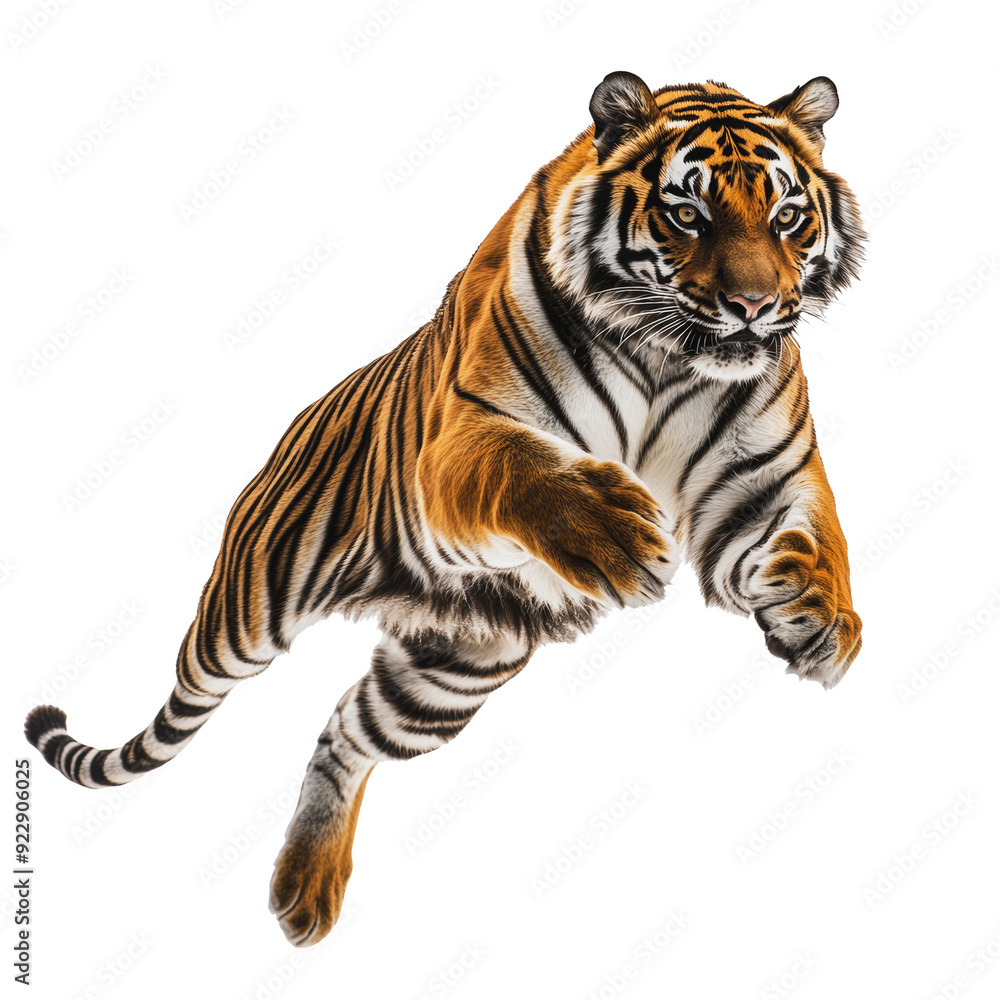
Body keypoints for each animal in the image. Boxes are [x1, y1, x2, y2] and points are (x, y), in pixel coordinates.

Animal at [25, 71, 864, 947]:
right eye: (688, 214)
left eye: (787, 217)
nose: (754, 305)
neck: (670, 358)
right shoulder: (463, 439)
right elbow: (524, 473)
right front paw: (614, 536)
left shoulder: (765, 478)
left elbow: (822, 539)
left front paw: (820, 620)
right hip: (245, 622)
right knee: (197, 693)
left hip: (450, 671)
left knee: (346, 730)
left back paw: (306, 888)